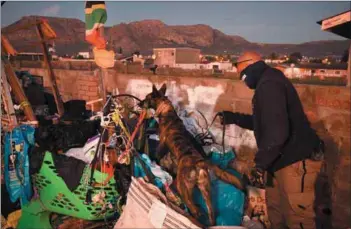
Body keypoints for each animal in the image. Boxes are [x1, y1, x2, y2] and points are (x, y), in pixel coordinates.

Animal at [140, 83, 245, 225]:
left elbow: (158, 154)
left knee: (194, 208)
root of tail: (199, 163)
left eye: (147, 98)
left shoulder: (162, 143)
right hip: (205, 190)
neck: (167, 110)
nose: (139, 103)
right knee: (211, 214)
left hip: (183, 187)